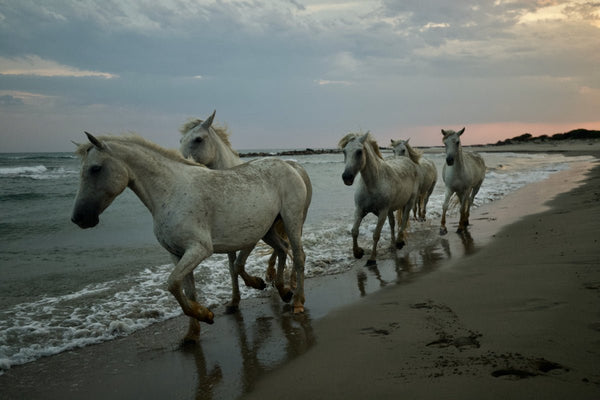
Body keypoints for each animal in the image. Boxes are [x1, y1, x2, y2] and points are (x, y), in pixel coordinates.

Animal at [71, 133, 310, 342]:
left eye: (95, 168)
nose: (78, 218)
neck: (171, 192)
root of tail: (290, 166)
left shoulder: (199, 249)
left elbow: (172, 284)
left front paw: (206, 315)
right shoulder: (177, 254)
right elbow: (187, 290)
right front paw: (193, 332)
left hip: (291, 220)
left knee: (298, 256)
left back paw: (297, 301)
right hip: (267, 230)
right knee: (282, 249)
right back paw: (282, 290)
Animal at [179, 111, 314, 308]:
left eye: (198, 139)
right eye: (181, 140)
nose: (180, 162)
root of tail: (294, 167)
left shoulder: (251, 237)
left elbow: (238, 265)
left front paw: (257, 283)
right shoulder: (230, 241)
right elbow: (232, 267)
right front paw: (234, 300)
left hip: (294, 221)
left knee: (297, 253)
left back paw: (295, 294)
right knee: (284, 247)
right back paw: (276, 279)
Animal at [340, 132, 420, 266]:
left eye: (359, 151)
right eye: (344, 151)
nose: (347, 177)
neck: (373, 184)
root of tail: (407, 160)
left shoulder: (383, 212)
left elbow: (376, 235)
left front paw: (372, 258)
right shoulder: (360, 210)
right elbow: (354, 231)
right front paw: (358, 252)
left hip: (409, 202)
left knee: (403, 220)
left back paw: (399, 242)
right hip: (391, 209)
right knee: (393, 223)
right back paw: (392, 245)